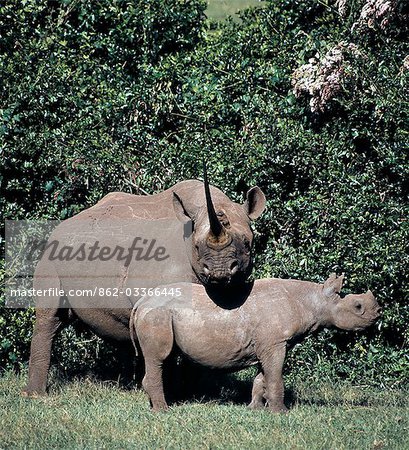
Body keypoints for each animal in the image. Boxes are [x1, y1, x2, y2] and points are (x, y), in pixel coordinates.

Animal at [130, 274, 380, 412]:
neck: (313, 300)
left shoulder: (269, 344)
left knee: (164, 358)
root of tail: (142, 301)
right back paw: (163, 411)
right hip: (157, 314)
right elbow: (276, 377)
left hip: (159, 314)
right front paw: (281, 413)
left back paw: (155, 406)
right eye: (358, 306)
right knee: (159, 358)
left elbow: (262, 377)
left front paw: (255, 409)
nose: (378, 313)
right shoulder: (276, 343)